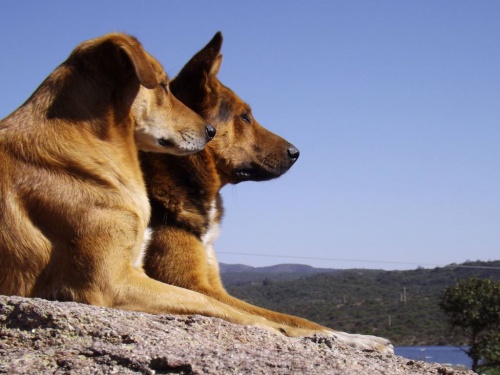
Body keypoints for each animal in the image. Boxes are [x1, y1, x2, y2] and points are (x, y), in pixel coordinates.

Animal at [0, 33, 308, 336]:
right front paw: (274, 327)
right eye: (245, 117)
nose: (296, 152)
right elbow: (209, 302)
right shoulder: (119, 281)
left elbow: (289, 317)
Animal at [141, 33, 394, 356]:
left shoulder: (212, 286)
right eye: (245, 117)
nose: (296, 152)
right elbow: (279, 319)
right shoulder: (187, 284)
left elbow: (290, 317)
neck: (180, 173)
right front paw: (353, 339)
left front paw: (349, 335)